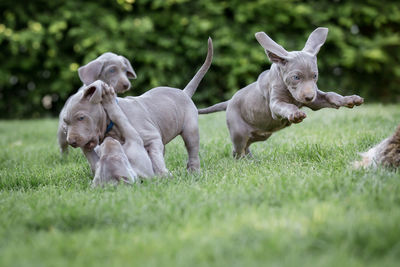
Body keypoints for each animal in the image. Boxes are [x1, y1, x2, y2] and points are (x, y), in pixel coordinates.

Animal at [61, 37, 212, 176]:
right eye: (65, 124)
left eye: (81, 117)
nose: (71, 141)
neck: (112, 126)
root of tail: (184, 92)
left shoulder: (151, 137)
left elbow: (155, 156)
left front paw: (161, 173)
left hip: (190, 129)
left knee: (192, 148)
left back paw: (194, 171)